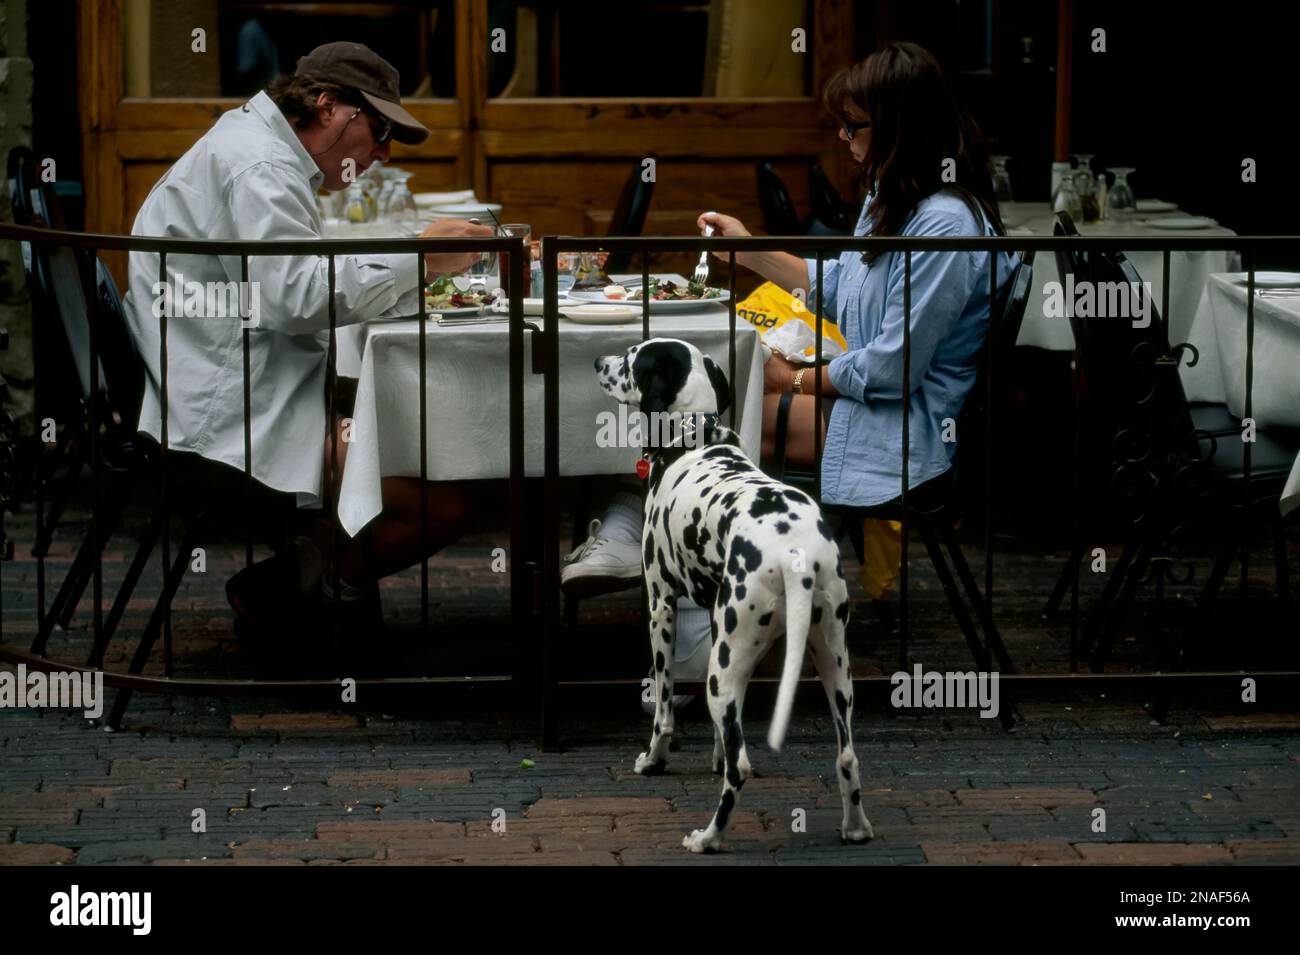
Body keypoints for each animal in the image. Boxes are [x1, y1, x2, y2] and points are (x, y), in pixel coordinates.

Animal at [595, 340, 878, 857]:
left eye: (631, 358)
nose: (597, 363)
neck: (694, 436)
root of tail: (795, 554)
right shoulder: (712, 618)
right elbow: (722, 737)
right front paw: (712, 753)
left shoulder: (662, 607)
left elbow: (664, 709)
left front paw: (653, 760)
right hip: (832, 666)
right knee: (847, 755)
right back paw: (855, 828)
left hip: (723, 673)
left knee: (741, 768)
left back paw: (708, 837)